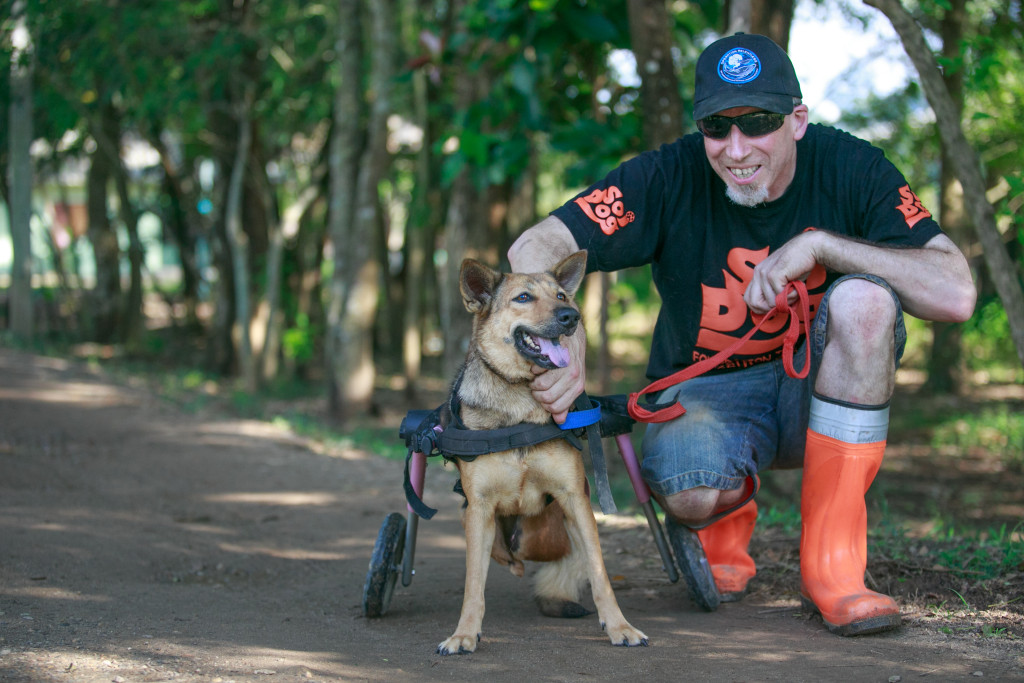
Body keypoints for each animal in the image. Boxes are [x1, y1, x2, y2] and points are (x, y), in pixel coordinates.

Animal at [434, 252, 647, 655]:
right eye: (523, 298)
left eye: (562, 295)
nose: (571, 317)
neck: (521, 396)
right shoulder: (479, 507)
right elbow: (473, 584)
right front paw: (464, 634)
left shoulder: (575, 498)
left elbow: (599, 572)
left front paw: (620, 626)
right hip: (471, 516)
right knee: (502, 555)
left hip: (546, 532)